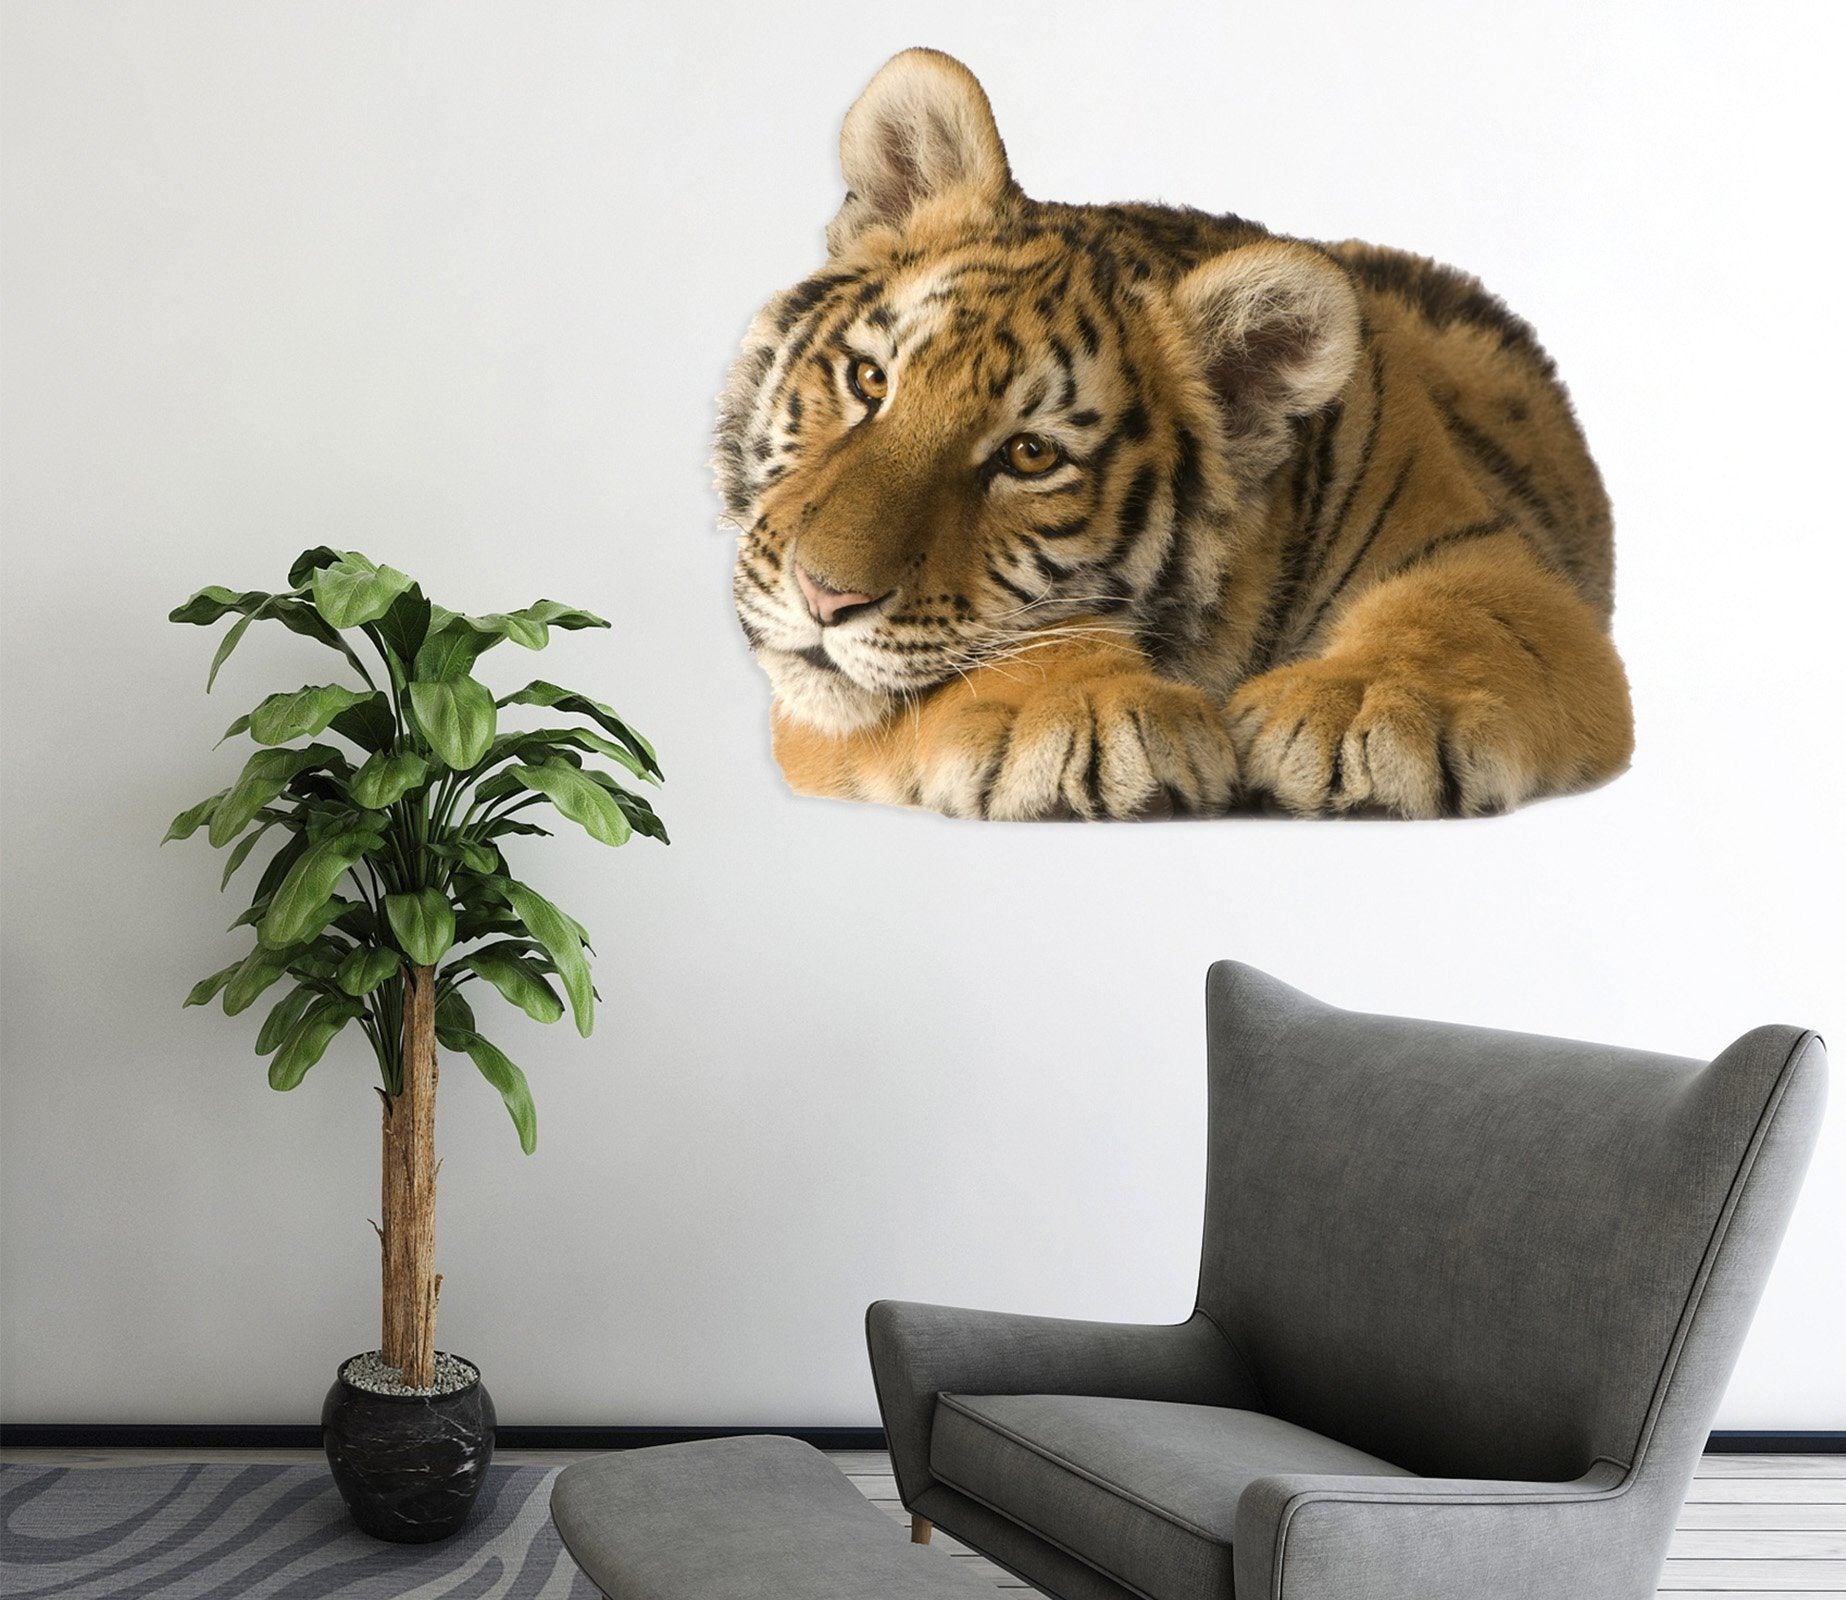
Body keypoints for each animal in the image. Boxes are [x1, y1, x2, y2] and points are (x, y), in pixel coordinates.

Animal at [715, 47, 1634, 820]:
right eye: (869, 380)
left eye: (1031, 454)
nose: (824, 598)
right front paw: (1090, 712)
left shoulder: (1496, 560)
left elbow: (1465, 618)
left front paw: (1362, 707)